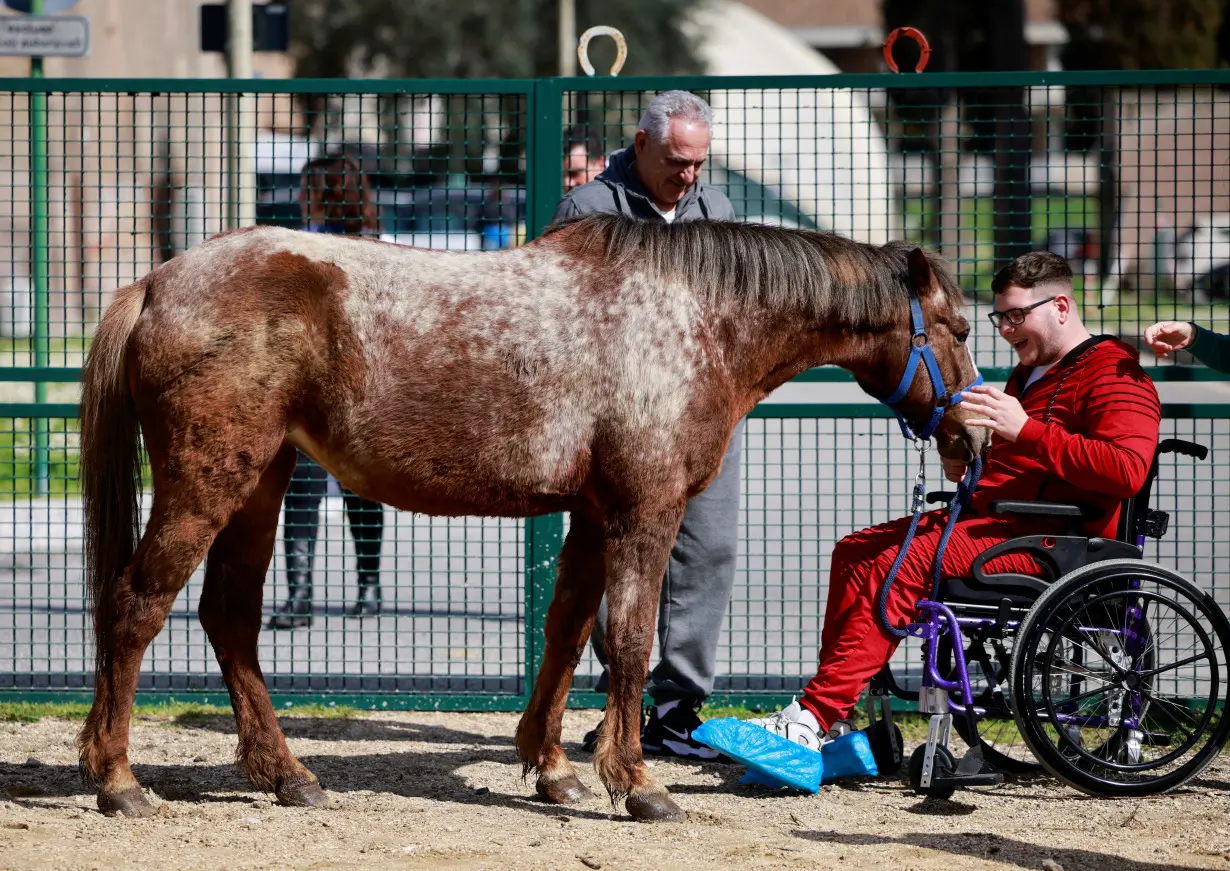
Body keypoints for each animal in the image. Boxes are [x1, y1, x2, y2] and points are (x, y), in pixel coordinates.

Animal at [76, 212, 984, 821]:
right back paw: (119, 780)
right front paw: (638, 783)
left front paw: (554, 769)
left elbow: (567, 632)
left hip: (261, 484)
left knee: (228, 617)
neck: (692, 314)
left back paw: (286, 774)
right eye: (959, 327)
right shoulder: (643, 513)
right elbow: (630, 641)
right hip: (207, 485)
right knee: (135, 606)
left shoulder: (590, 515)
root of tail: (155, 283)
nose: (972, 439)